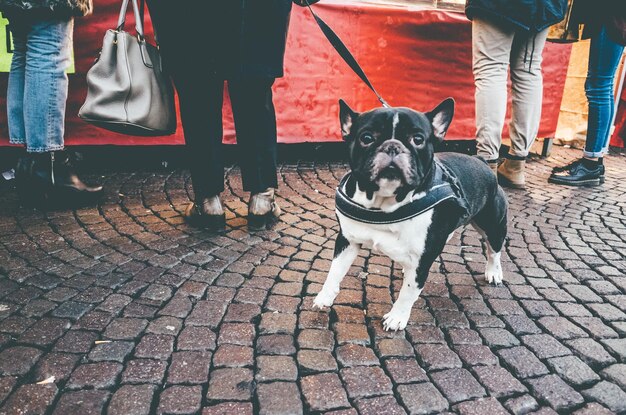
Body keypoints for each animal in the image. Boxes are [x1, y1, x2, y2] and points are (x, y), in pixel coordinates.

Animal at [312, 98, 508, 332]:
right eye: (366, 138)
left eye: (418, 139)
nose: (393, 146)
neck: (384, 204)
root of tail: (481, 161)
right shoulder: (348, 240)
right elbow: (335, 270)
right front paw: (325, 296)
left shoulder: (422, 260)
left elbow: (408, 292)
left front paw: (397, 318)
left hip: (493, 224)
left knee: (494, 250)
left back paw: (494, 273)